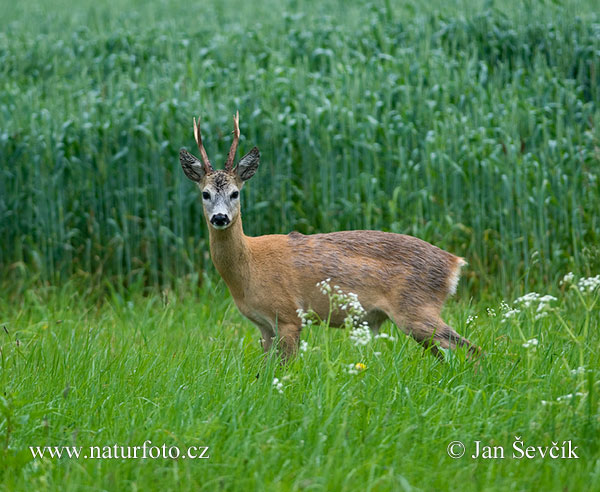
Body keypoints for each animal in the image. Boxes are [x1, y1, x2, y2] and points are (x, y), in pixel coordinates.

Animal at [180, 112, 480, 362]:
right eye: (205, 193)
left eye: (235, 193)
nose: (220, 218)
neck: (249, 267)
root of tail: (454, 263)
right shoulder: (264, 325)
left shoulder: (289, 316)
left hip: (417, 309)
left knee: (473, 349)